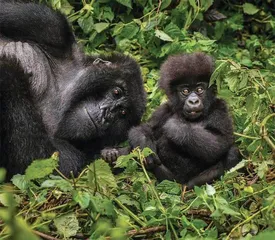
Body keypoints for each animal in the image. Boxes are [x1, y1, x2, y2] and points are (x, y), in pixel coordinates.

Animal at [0, 1, 148, 178]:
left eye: (123, 112)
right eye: (116, 92)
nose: (107, 114)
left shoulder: (81, 156)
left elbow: (40, 162)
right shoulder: (52, 27)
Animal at [130, 53, 240, 189]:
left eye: (199, 89)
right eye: (185, 91)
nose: (193, 101)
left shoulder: (220, 108)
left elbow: (222, 141)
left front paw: (176, 128)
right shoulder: (165, 109)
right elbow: (144, 128)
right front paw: (146, 146)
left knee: (233, 152)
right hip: (170, 179)